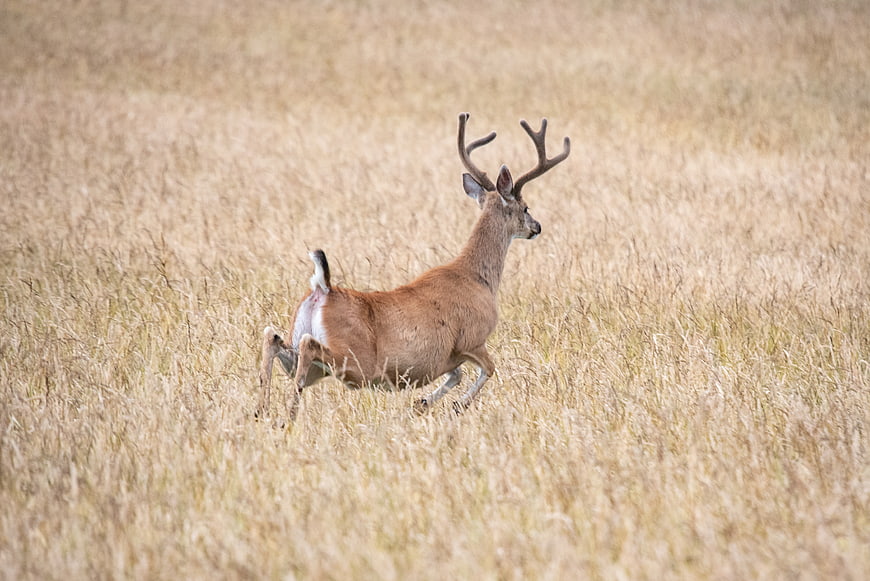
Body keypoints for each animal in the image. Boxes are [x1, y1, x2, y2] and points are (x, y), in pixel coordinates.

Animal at [257, 113, 569, 423]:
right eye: (526, 207)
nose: (537, 227)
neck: (478, 278)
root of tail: (323, 288)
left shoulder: (444, 358)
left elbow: (456, 375)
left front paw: (423, 402)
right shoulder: (471, 339)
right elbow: (489, 369)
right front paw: (457, 405)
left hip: (310, 358)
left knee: (273, 337)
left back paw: (262, 411)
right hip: (356, 362)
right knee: (306, 347)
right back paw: (288, 417)